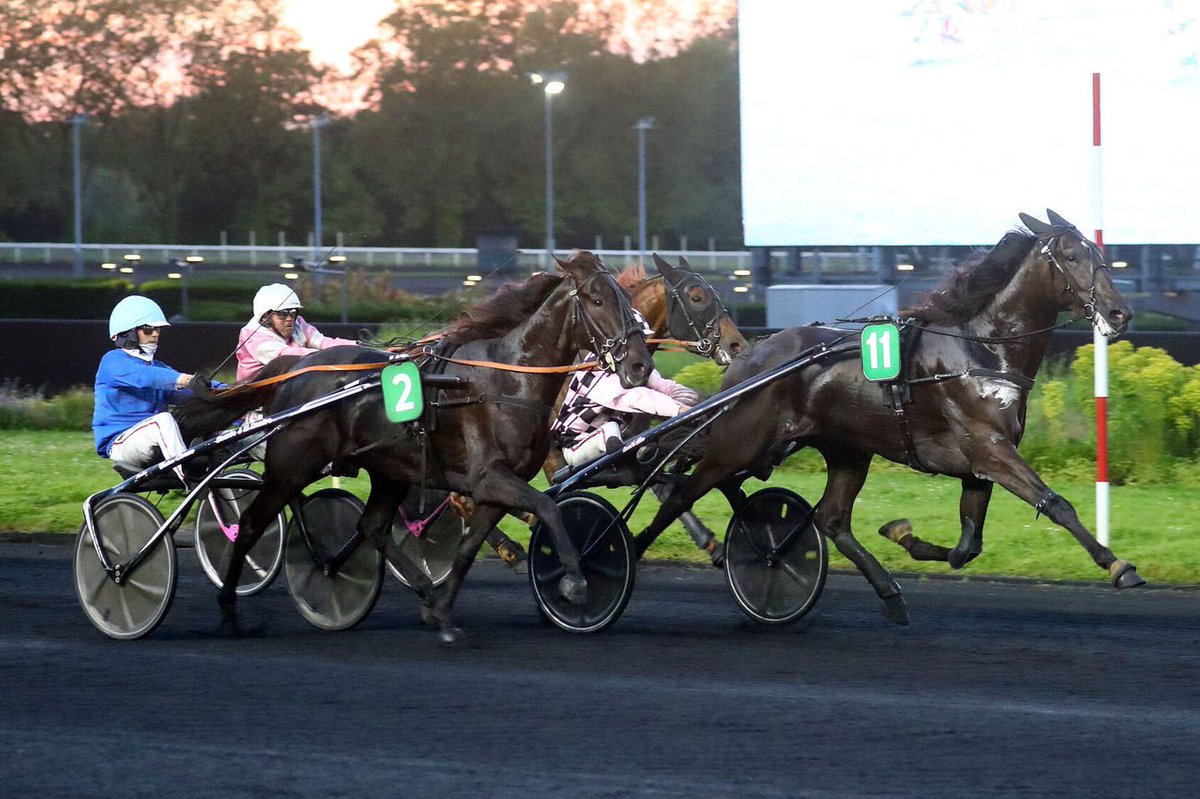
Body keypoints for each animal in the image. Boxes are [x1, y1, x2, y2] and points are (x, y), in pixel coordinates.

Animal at [633, 211, 1137, 623]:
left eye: (1101, 254)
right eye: (1072, 256)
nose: (1120, 313)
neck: (982, 350)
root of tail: (747, 359)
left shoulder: (978, 464)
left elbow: (967, 546)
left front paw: (903, 534)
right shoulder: (989, 449)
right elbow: (1056, 504)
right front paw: (1118, 565)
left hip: (844, 451)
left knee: (830, 520)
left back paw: (873, 586)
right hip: (736, 445)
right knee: (680, 495)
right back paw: (625, 556)